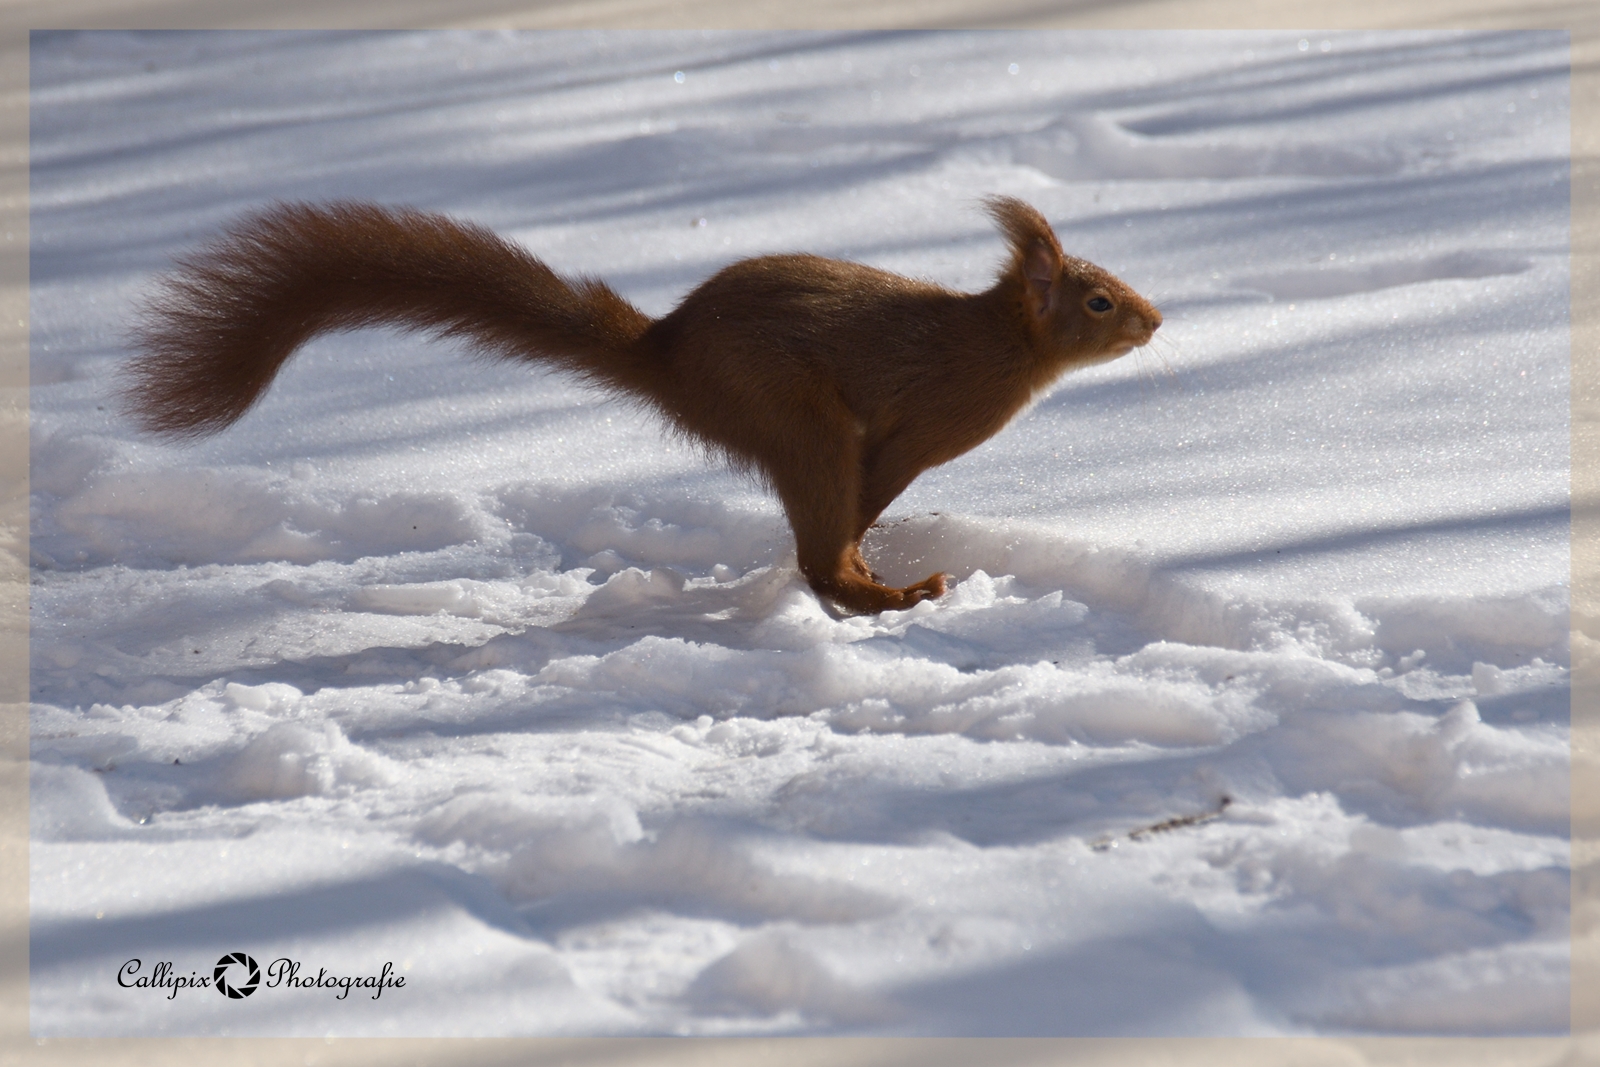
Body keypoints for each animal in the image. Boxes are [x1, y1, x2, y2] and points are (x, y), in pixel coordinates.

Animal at [118, 197, 1158, 614]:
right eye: (1098, 301)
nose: (1155, 319)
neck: (1001, 344)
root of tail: (668, 354)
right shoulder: (926, 420)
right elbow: (879, 481)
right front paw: (869, 546)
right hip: (795, 416)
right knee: (819, 542)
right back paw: (876, 589)